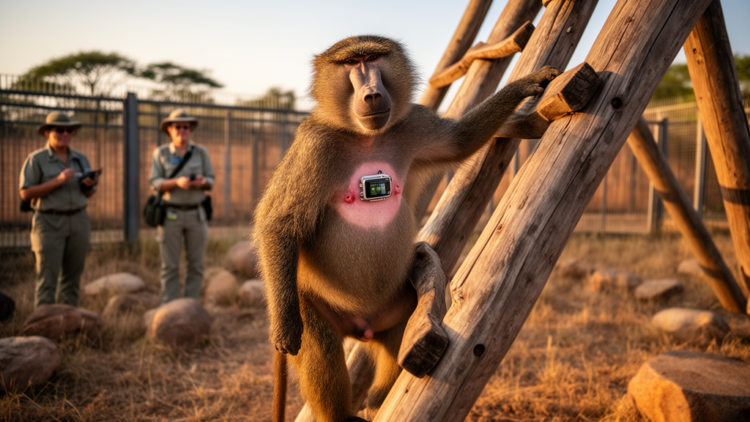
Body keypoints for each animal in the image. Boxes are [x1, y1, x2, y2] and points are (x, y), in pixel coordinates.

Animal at [254, 35, 558, 422]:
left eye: (373, 57)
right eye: (351, 63)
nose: (371, 93)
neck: (366, 137)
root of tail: (362, 326)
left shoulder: (412, 123)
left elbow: (461, 140)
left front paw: (527, 84)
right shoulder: (315, 146)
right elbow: (279, 224)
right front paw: (285, 329)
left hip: (395, 307)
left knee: (401, 335)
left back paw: (377, 399)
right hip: (311, 300)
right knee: (320, 342)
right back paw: (342, 413)